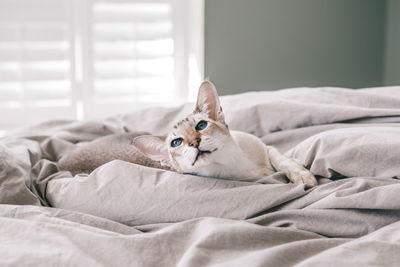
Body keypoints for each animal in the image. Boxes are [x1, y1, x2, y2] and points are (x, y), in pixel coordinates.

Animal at [134, 81, 318, 186]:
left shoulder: (266, 147)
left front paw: (303, 175)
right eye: (176, 143)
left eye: (201, 125)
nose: (194, 142)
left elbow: (283, 160)